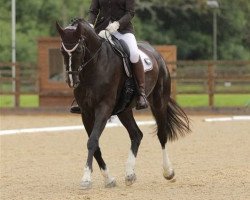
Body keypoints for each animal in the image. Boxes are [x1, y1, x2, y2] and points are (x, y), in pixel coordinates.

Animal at [56, 18, 189, 189]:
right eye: (62, 51)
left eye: (78, 50)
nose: (72, 80)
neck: (95, 66)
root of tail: (155, 52)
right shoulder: (86, 112)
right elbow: (95, 143)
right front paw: (109, 179)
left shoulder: (104, 108)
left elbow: (92, 141)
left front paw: (86, 178)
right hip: (124, 110)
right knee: (136, 134)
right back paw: (130, 174)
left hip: (159, 103)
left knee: (162, 134)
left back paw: (168, 172)